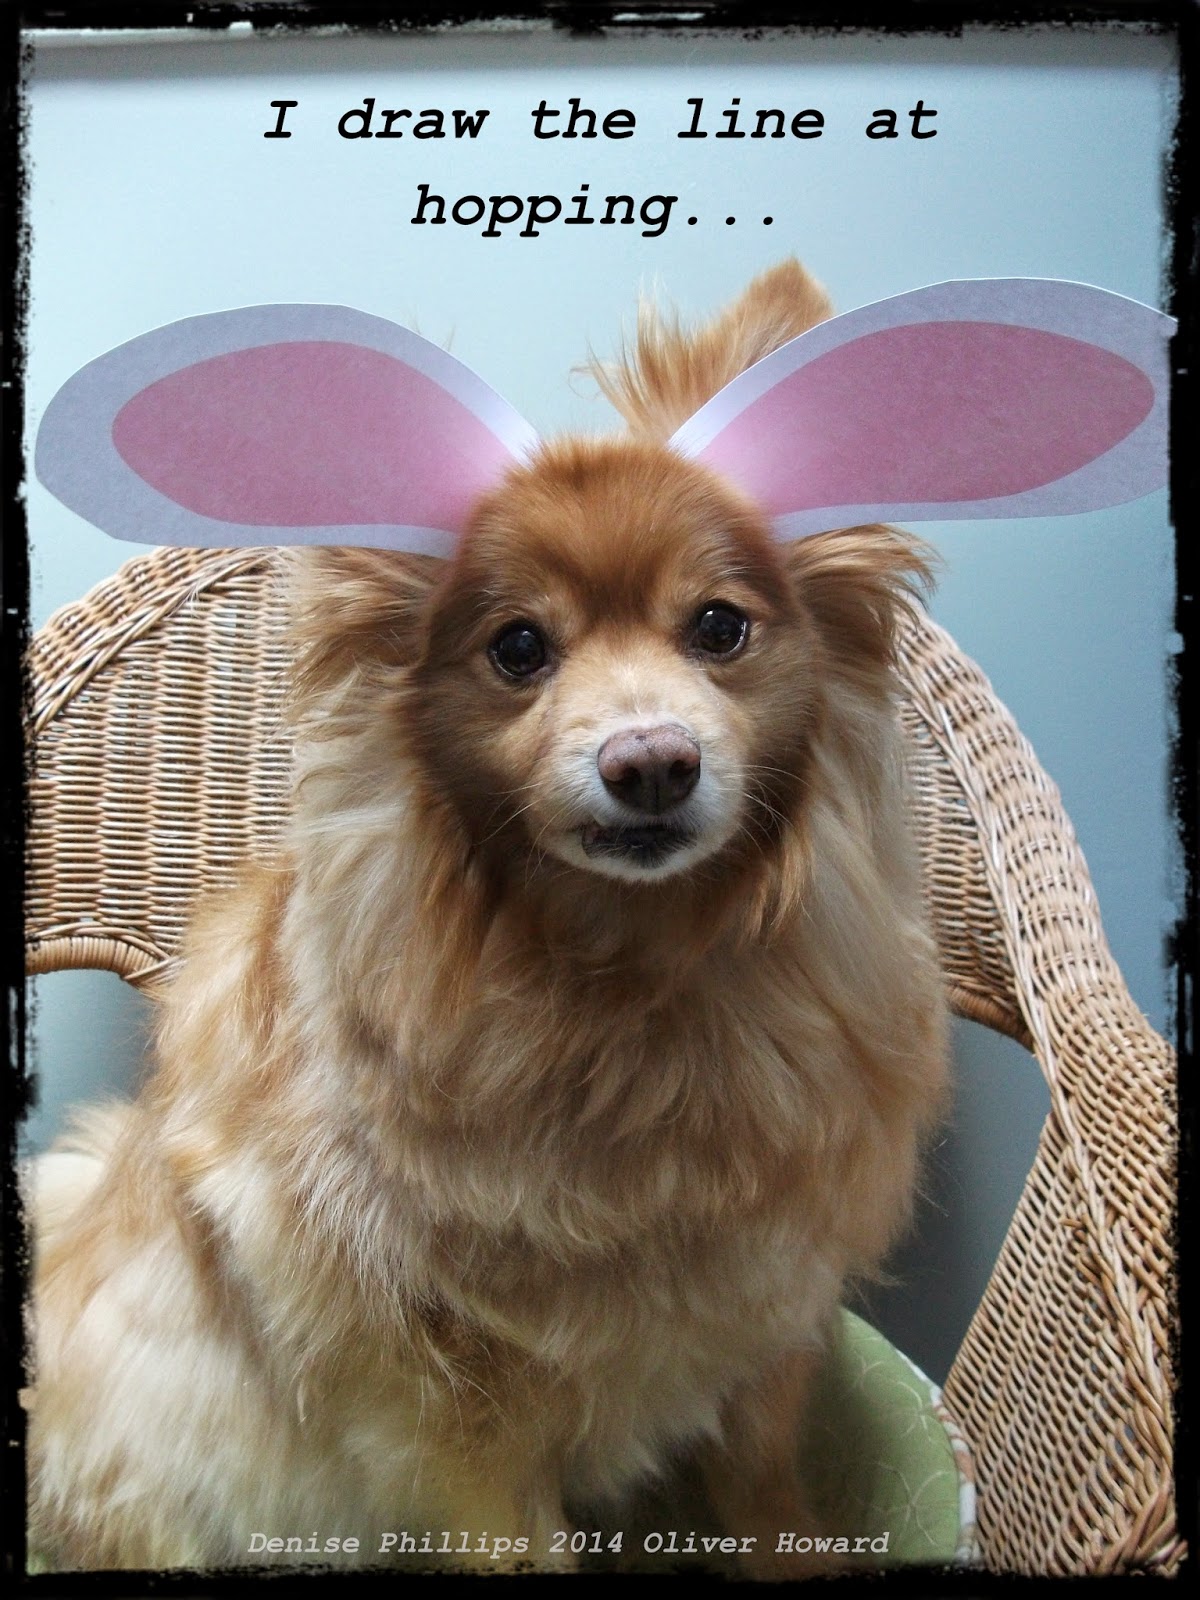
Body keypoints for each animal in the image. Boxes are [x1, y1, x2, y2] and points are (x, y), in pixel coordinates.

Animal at [28, 259, 949, 1575]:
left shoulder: (769, 1312)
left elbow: (764, 1482)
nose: (652, 761)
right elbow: (518, 1536)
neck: (632, 995)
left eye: (718, 628)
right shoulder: (450, 1401)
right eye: (518, 647)